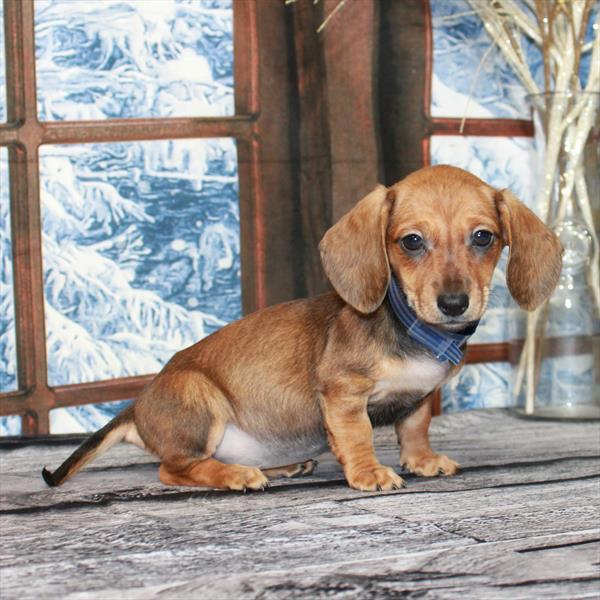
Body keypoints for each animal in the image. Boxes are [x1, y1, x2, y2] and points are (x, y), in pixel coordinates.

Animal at [42, 165, 564, 492]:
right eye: (412, 241)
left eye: (484, 237)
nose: (454, 304)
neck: (413, 329)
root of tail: (136, 406)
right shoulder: (343, 393)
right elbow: (357, 436)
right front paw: (370, 473)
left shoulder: (419, 399)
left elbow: (415, 428)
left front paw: (422, 460)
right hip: (197, 399)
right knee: (173, 470)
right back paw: (234, 475)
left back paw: (280, 465)